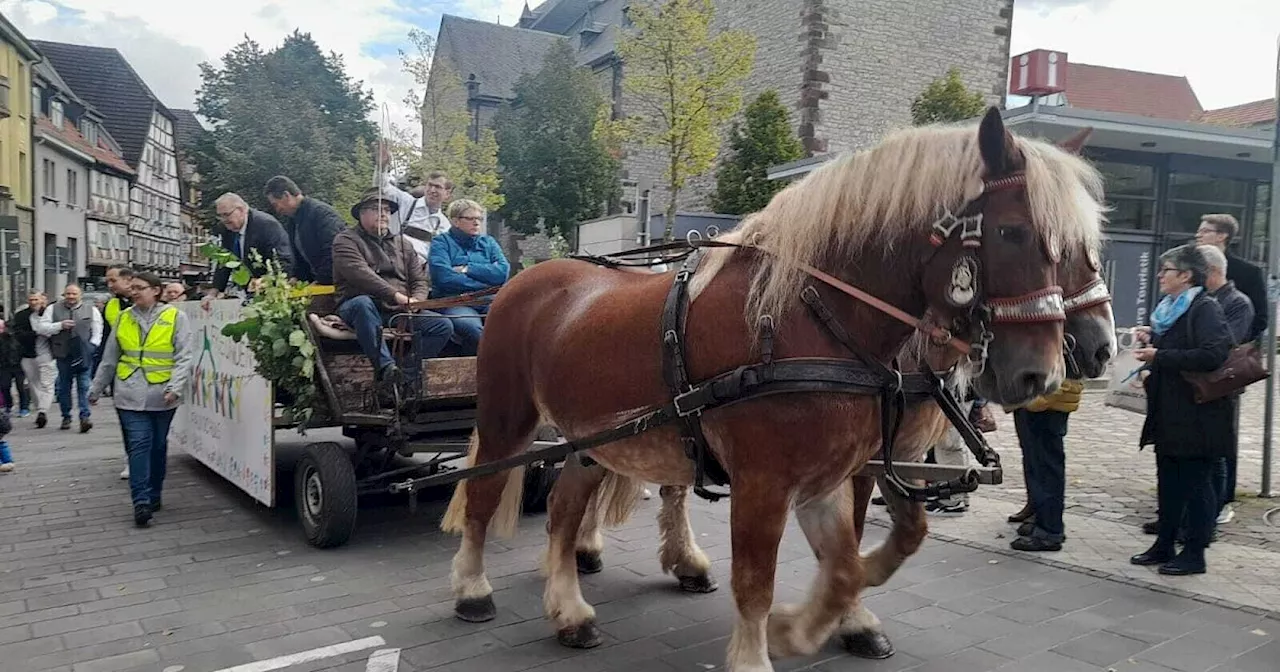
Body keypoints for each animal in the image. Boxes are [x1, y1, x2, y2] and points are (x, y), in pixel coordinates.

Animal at [437, 110, 1100, 670]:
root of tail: (531, 276)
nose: (1049, 371)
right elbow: (757, 581)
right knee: (483, 494)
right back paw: (471, 589)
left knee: (563, 510)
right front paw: (767, 647)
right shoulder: (765, 483)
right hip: (508, 420)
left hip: (590, 441)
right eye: (1013, 232)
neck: (814, 318)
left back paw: (570, 609)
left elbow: (852, 563)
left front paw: (809, 626)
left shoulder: (831, 474)